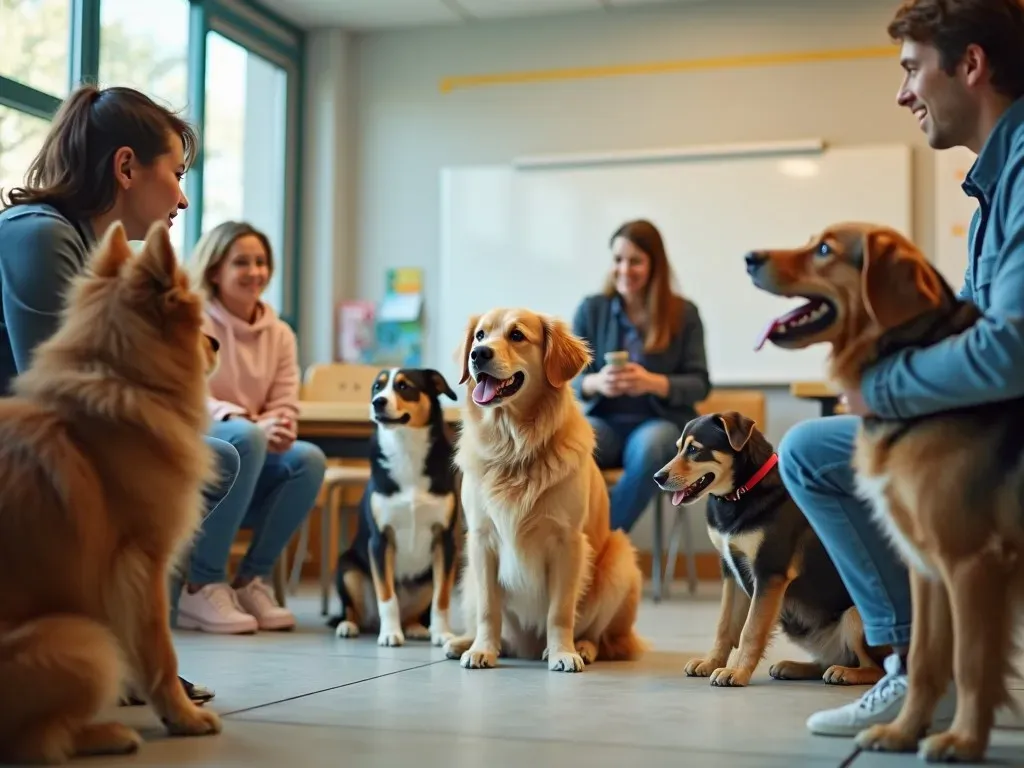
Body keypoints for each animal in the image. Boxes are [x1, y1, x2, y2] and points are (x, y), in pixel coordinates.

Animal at [0, 221, 223, 765]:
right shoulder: (144, 565)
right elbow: (161, 651)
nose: (216, 342)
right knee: (32, 741)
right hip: (87, 643)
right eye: (197, 323)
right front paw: (182, 716)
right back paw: (106, 733)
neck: (121, 382)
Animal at [329, 370, 462, 647]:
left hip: (425, 579)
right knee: (352, 609)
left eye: (404, 386)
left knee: (415, 610)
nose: (377, 402)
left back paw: (415, 628)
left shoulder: (444, 541)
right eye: (377, 387)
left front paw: (441, 633)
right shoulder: (380, 540)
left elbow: (442, 599)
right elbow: (387, 596)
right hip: (348, 569)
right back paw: (349, 625)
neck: (406, 450)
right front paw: (390, 633)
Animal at [444, 307, 643, 671]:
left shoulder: (568, 542)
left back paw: (582, 648)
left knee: (601, 636)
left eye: (517, 335)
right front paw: (482, 649)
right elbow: (488, 610)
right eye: (480, 335)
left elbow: (560, 612)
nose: (478, 354)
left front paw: (563, 652)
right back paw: (466, 641)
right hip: (467, 577)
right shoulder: (481, 539)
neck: (514, 447)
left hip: (619, 561)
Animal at [655, 415, 888, 692]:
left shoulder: (769, 573)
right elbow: (725, 626)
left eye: (694, 449)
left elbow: (751, 630)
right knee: (830, 661)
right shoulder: (731, 572)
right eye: (678, 447)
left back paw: (847, 673)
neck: (740, 493)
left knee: (879, 668)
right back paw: (795, 667)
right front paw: (711, 662)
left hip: (856, 617)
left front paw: (736, 672)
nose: (658, 477)